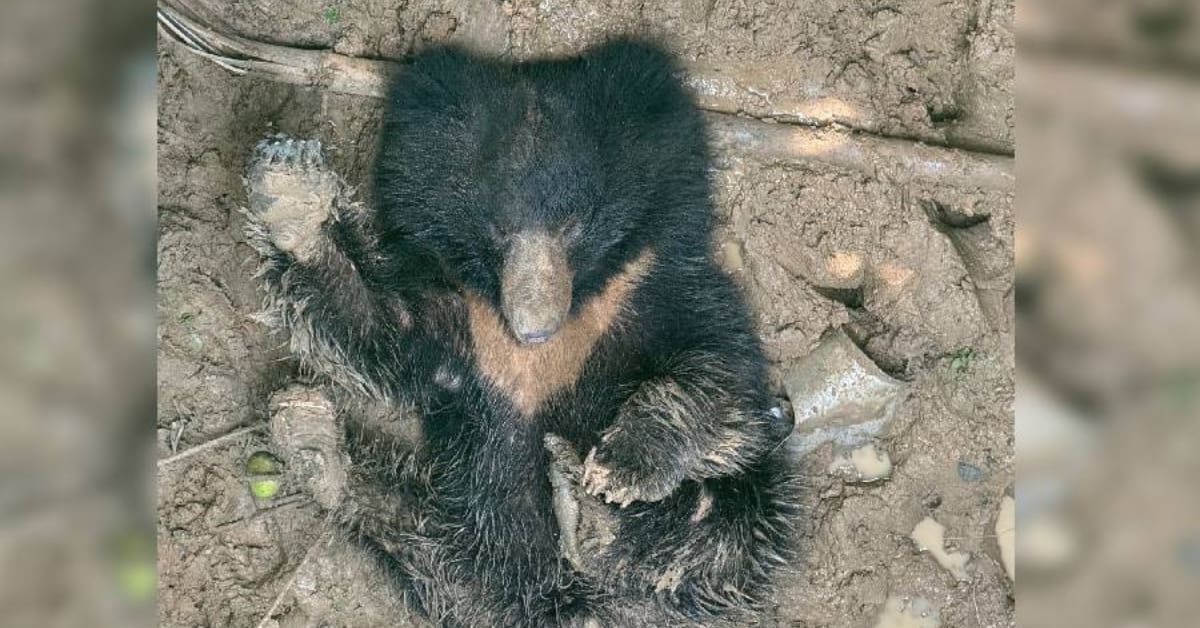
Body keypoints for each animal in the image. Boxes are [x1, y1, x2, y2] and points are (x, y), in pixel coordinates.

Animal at [244, 39, 800, 627]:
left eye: (574, 225)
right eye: (498, 228)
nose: (533, 326)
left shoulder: (664, 287)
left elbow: (719, 377)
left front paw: (620, 466)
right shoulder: (466, 323)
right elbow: (375, 333)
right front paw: (293, 195)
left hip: (738, 529)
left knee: (726, 526)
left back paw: (592, 518)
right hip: (472, 553)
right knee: (424, 540)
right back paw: (314, 441)